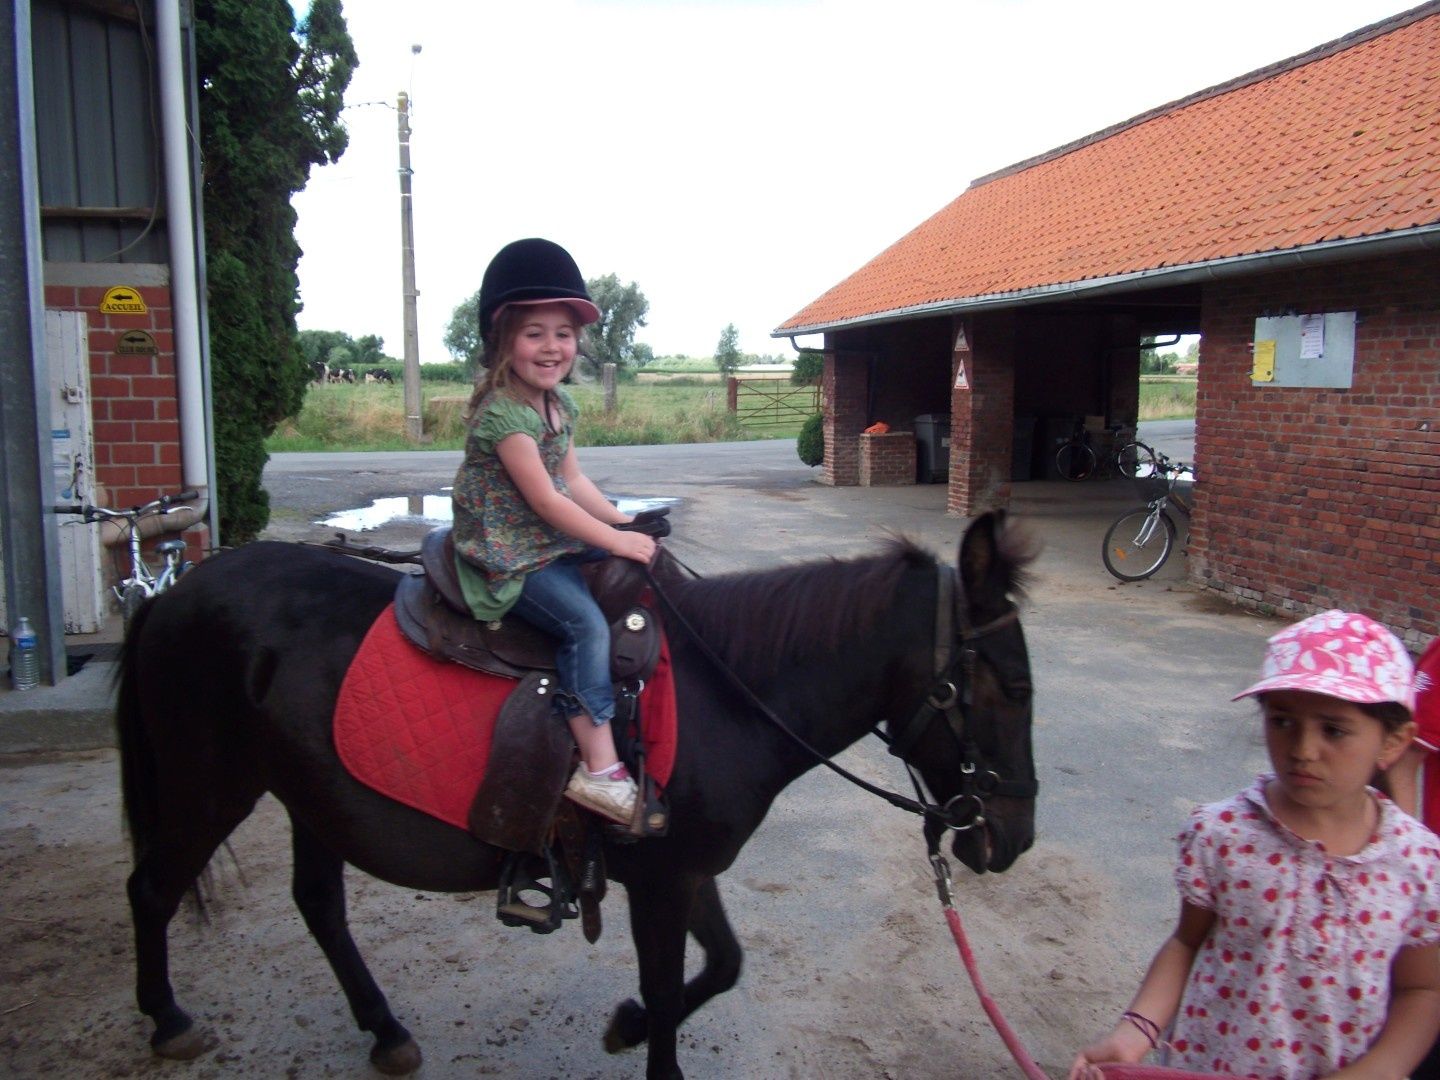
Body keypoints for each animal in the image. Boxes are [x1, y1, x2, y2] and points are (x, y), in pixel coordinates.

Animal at [116, 511, 1038, 1080]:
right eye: (1005, 687)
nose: (1013, 838)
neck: (723, 690)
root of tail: (178, 594)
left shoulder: (683, 872)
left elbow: (723, 966)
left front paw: (624, 1024)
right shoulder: (660, 883)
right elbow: (672, 995)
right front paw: (644, 1029)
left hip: (308, 795)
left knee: (317, 905)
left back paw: (384, 1030)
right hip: (209, 785)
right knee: (151, 889)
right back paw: (166, 1019)